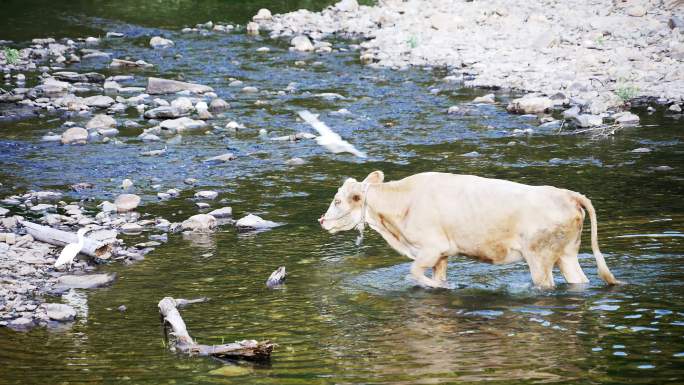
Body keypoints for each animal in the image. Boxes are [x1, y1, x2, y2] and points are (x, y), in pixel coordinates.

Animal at [318, 171, 624, 288]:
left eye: (337, 200)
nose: (321, 220)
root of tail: (567, 194)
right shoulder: (442, 255)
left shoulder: (432, 248)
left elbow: (414, 273)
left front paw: (443, 287)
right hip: (567, 253)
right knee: (579, 280)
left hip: (540, 255)